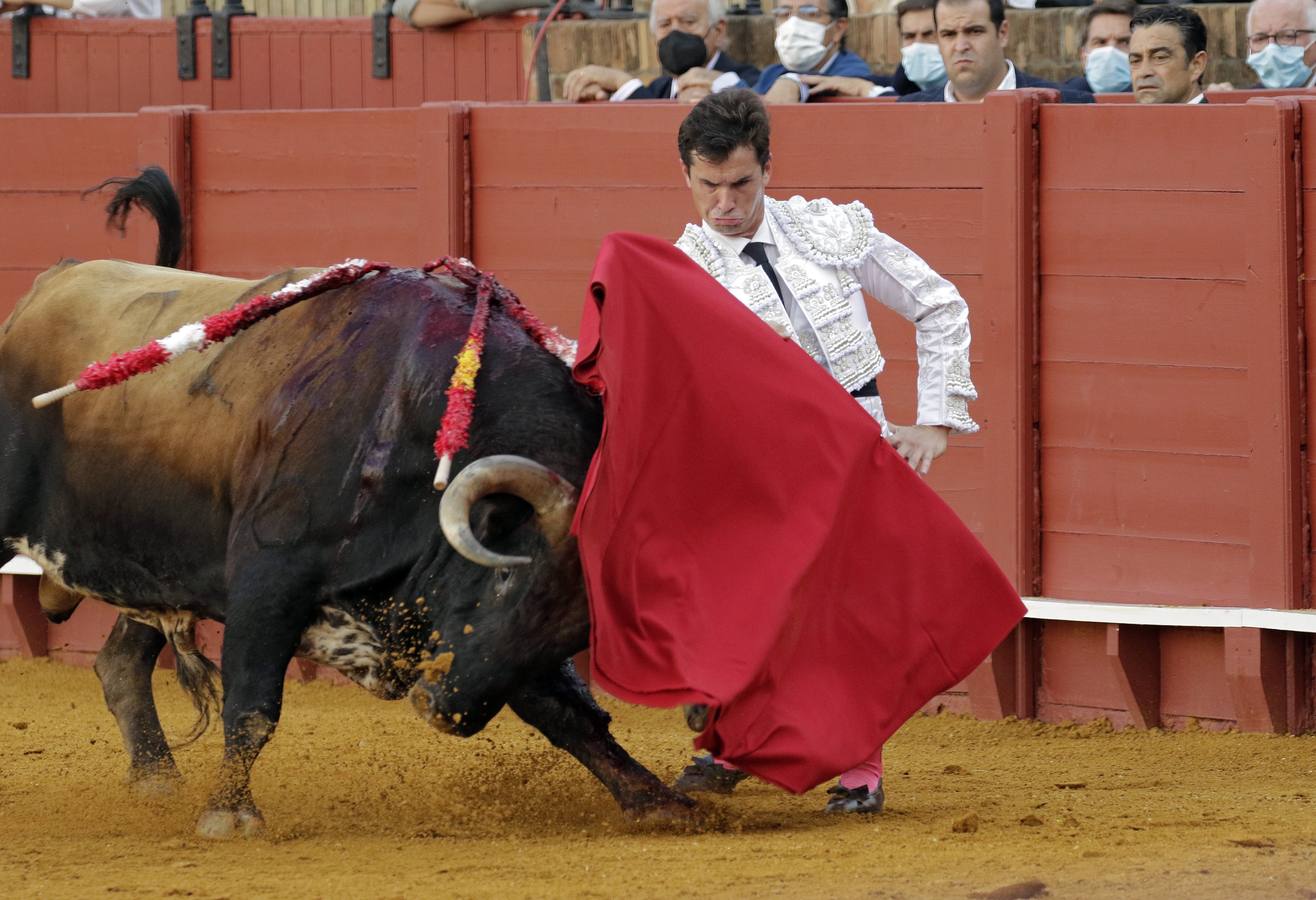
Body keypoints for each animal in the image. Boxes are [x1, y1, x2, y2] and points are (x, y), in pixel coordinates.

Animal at [0, 186, 694, 842]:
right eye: (503, 575)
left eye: (580, 631)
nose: (441, 709)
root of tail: (47, 284)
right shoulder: (270, 575)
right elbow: (253, 702)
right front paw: (229, 814)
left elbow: (568, 711)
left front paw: (659, 801)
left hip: (156, 565)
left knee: (120, 663)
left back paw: (155, 777)